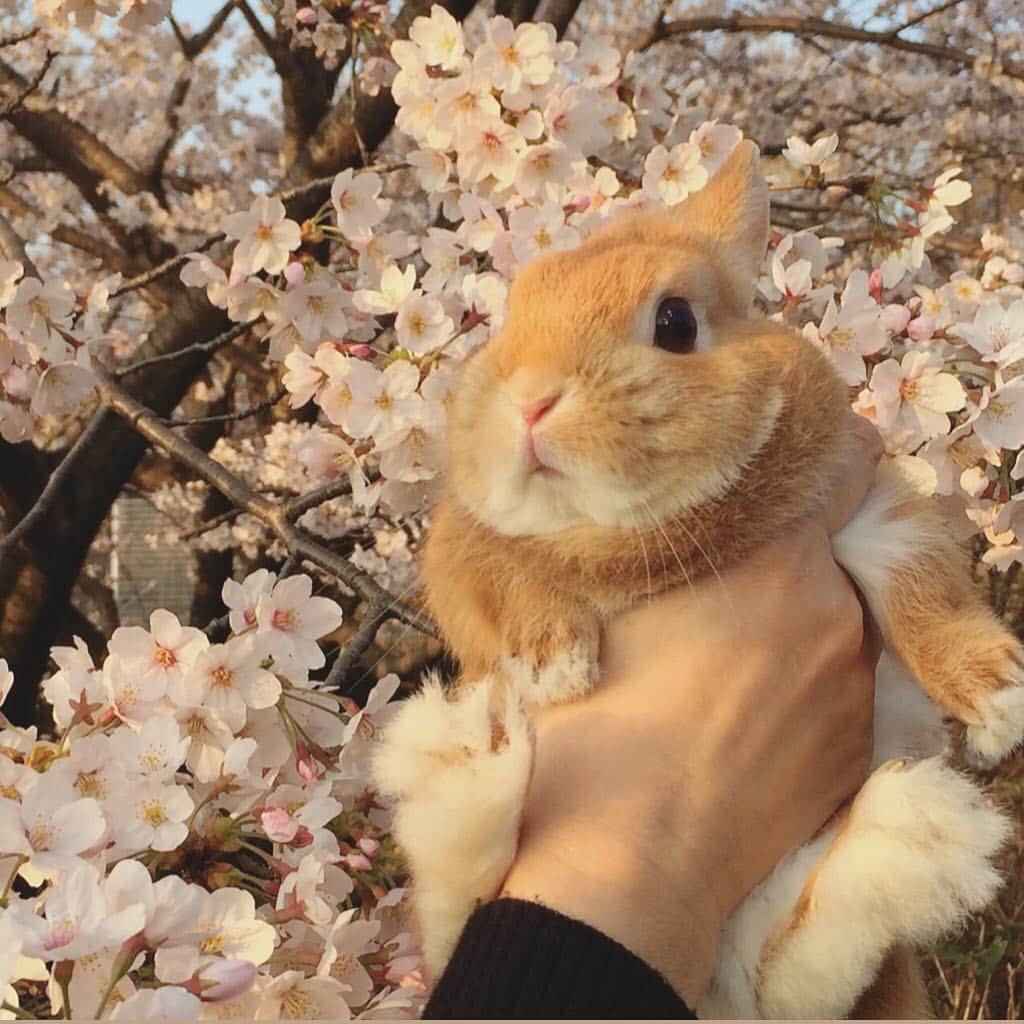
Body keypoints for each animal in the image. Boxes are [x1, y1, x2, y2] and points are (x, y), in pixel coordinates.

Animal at [373, 140, 1024, 1019]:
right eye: (510, 320)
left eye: (676, 323)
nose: (531, 401)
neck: (627, 534)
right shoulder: (460, 555)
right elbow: (512, 581)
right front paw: (553, 666)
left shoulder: (871, 518)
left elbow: (927, 596)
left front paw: (1001, 698)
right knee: (454, 905)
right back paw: (469, 753)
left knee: (797, 964)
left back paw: (921, 828)